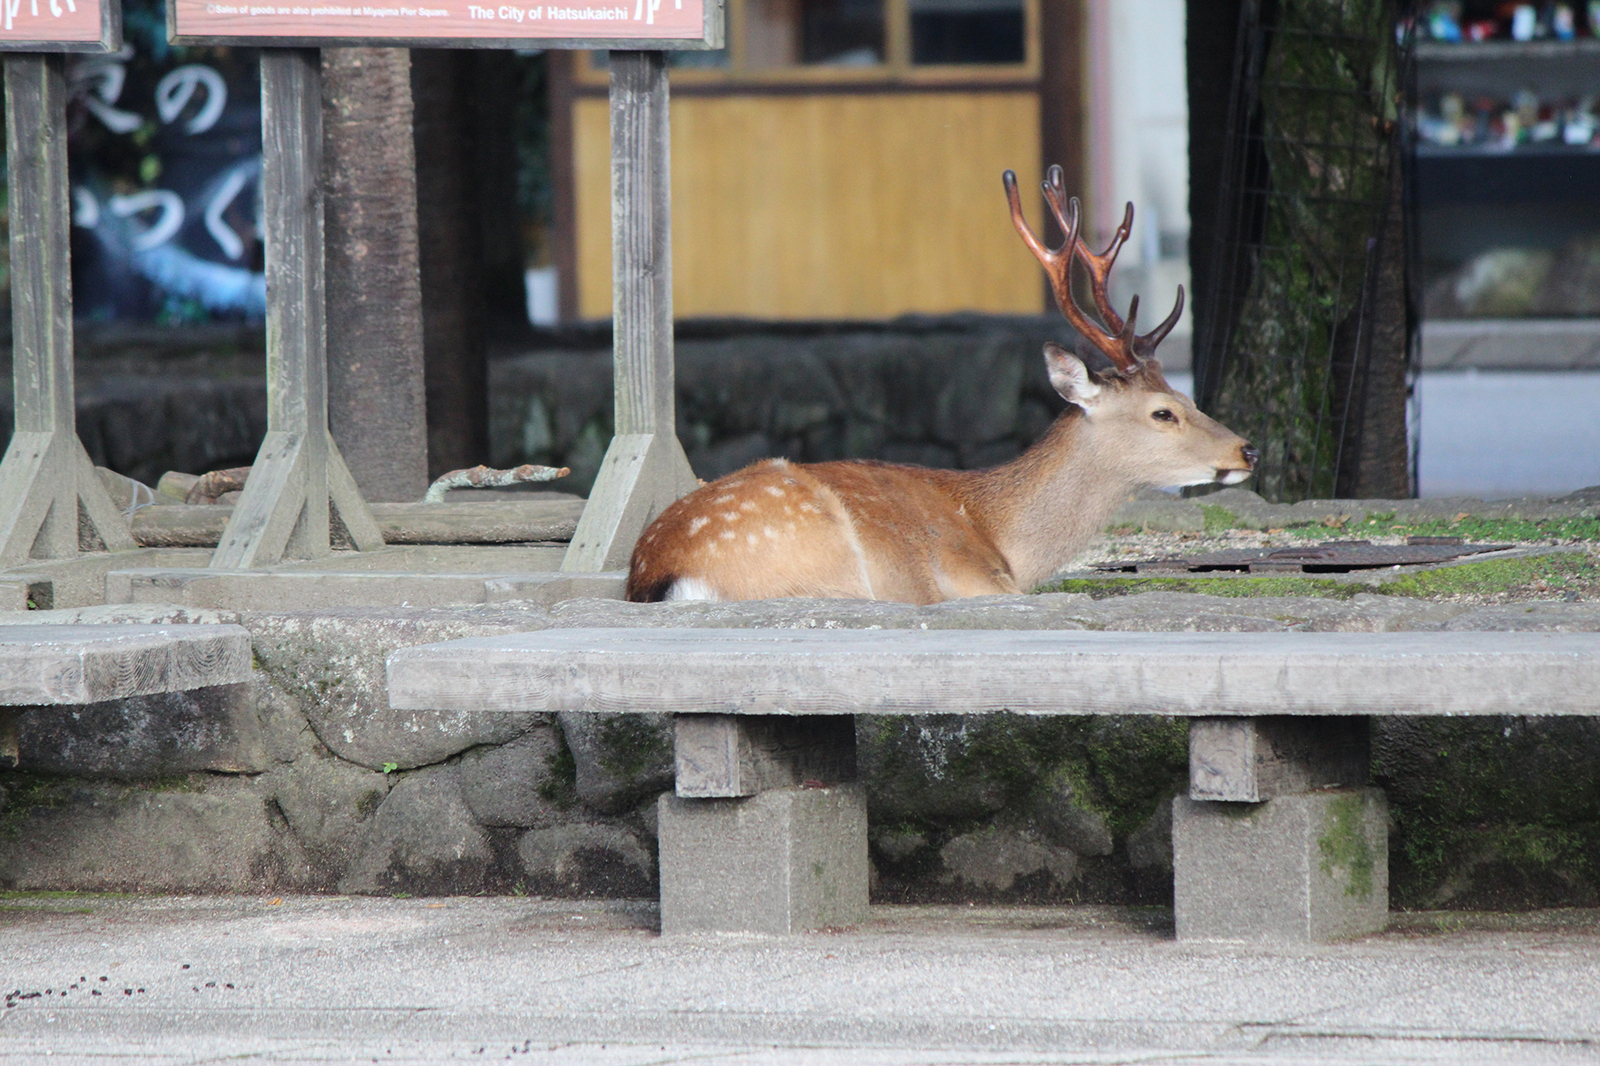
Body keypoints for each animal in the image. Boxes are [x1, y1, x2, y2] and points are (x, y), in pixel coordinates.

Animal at [617, 161, 1254, 601]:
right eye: (1163, 412)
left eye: (1186, 395)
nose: (1246, 449)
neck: (1000, 534)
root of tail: (663, 575)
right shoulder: (972, 578)